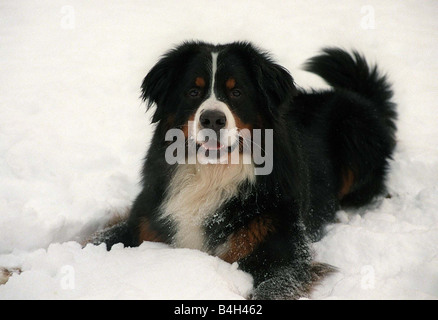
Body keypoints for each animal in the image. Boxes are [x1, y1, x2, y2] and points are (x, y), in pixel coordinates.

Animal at [1, 41, 396, 298]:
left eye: (236, 93)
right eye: (194, 91)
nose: (212, 118)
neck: (212, 174)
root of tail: (351, 95)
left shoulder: (284, 252)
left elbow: (270, 288)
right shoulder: (147, 221)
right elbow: (92, 240)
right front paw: (14, 272)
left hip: (355, 130)